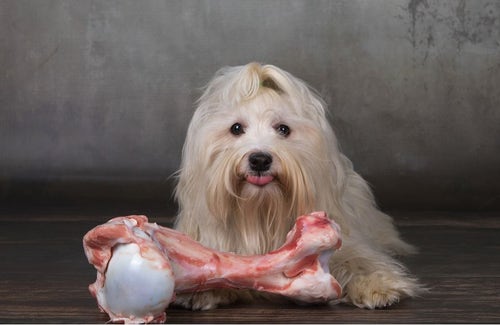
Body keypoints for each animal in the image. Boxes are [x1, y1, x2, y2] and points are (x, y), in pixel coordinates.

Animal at [174, 61, 420, 308]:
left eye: (283, 129)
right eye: (236, 128)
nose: (260, 160)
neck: (260, 215)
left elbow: (357, 259)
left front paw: (377, 284)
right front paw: (203, 289)